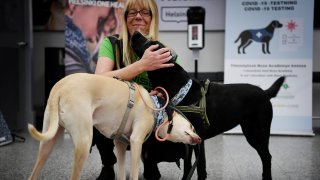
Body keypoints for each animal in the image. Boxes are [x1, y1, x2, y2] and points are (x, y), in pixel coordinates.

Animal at [27, 73, 200, 180]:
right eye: (192, 126)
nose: (199, 139)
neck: (156, 107)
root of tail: (60, 88)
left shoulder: (120, 145)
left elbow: (122, 174)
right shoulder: (136, 142)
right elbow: (134, 174)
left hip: (47, 144)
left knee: (33, 175)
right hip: (84, 143)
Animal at [131, 31, 284, 179]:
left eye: (150, 43)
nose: (135, 32)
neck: (181, 88)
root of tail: (264, 92)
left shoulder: (198, 139)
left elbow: (200, 167)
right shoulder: (187, 137)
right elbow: (188, 165)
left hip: (257, 133)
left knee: (267, 157)